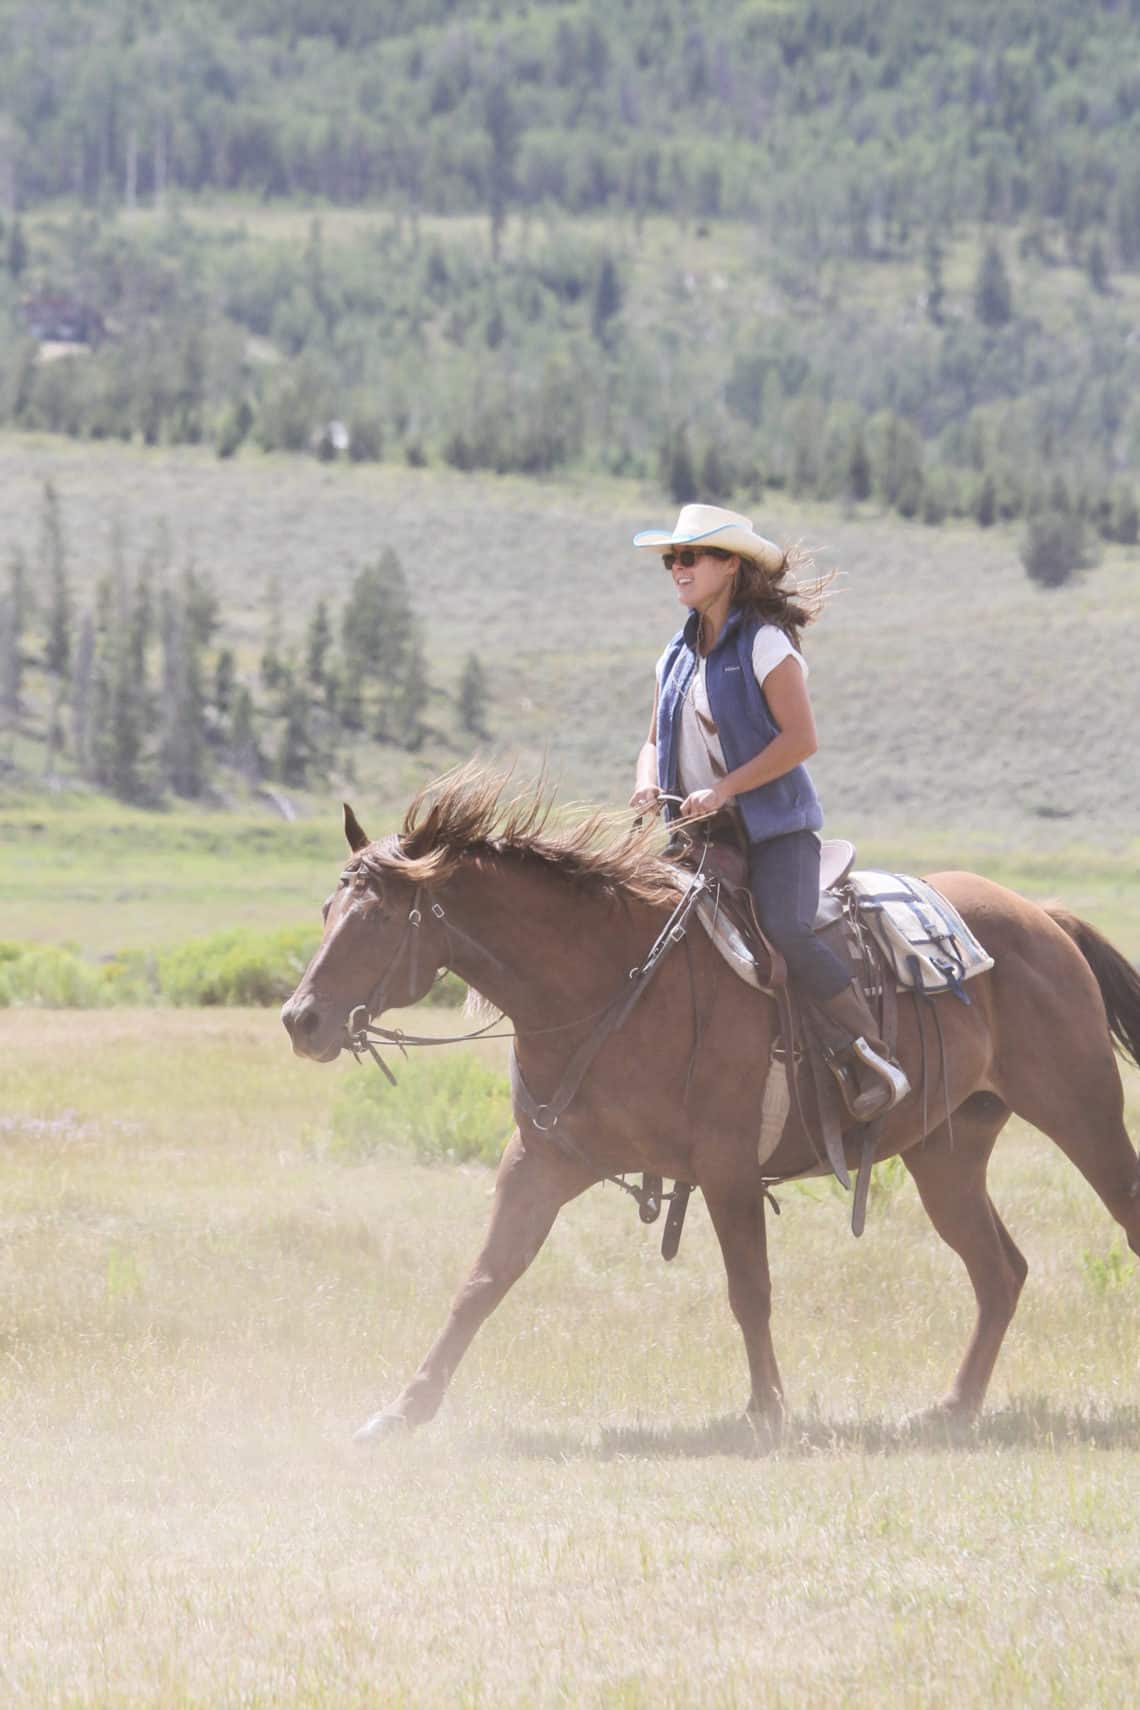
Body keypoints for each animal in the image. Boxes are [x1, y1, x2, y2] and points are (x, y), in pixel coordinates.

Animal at [283, 776, 1140, 1443]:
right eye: (326, 909)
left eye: (379, 917)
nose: (302, 1020)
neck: (611, 983)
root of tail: (1044, 916)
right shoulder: (540, 1162)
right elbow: (484, 1279)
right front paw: (404, 1410)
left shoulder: (728, 1170)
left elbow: (749, 1290)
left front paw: (767, 1412)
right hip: (947, 1154)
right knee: (999, 1271)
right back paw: (952, 1409)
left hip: (1084, 1113)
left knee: (1109, 1222)